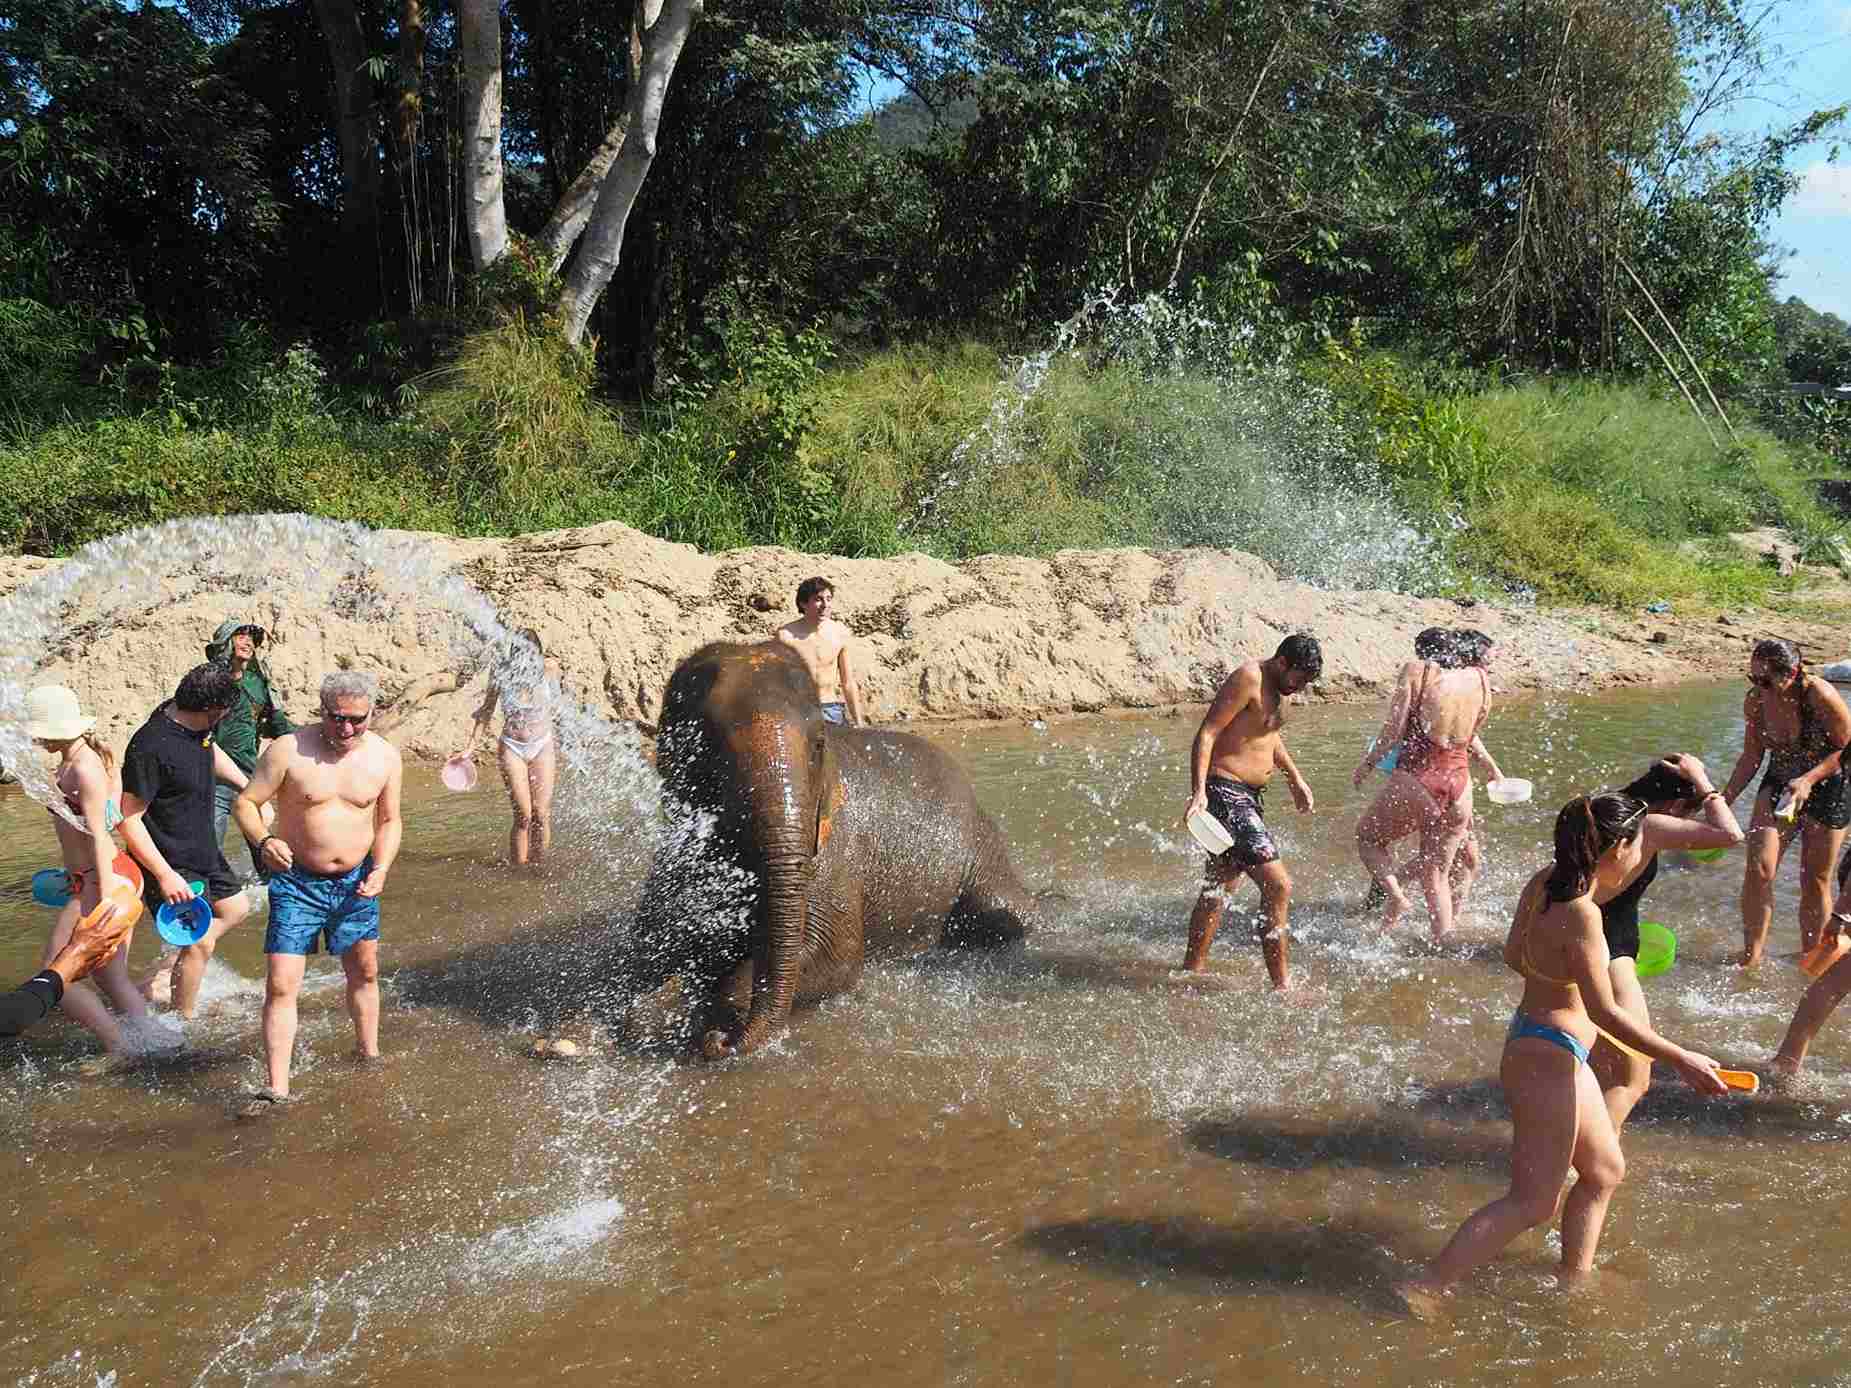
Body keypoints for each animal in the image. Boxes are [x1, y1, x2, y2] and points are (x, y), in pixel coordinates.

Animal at [630, 639, 1037, 1059]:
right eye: (710, 749)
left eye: (818, 745)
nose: (723, 1042)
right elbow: (641, 945)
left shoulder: (835, 851)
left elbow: (837, 957)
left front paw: (696, 1016)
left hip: (980, 851)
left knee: (1000, 913)